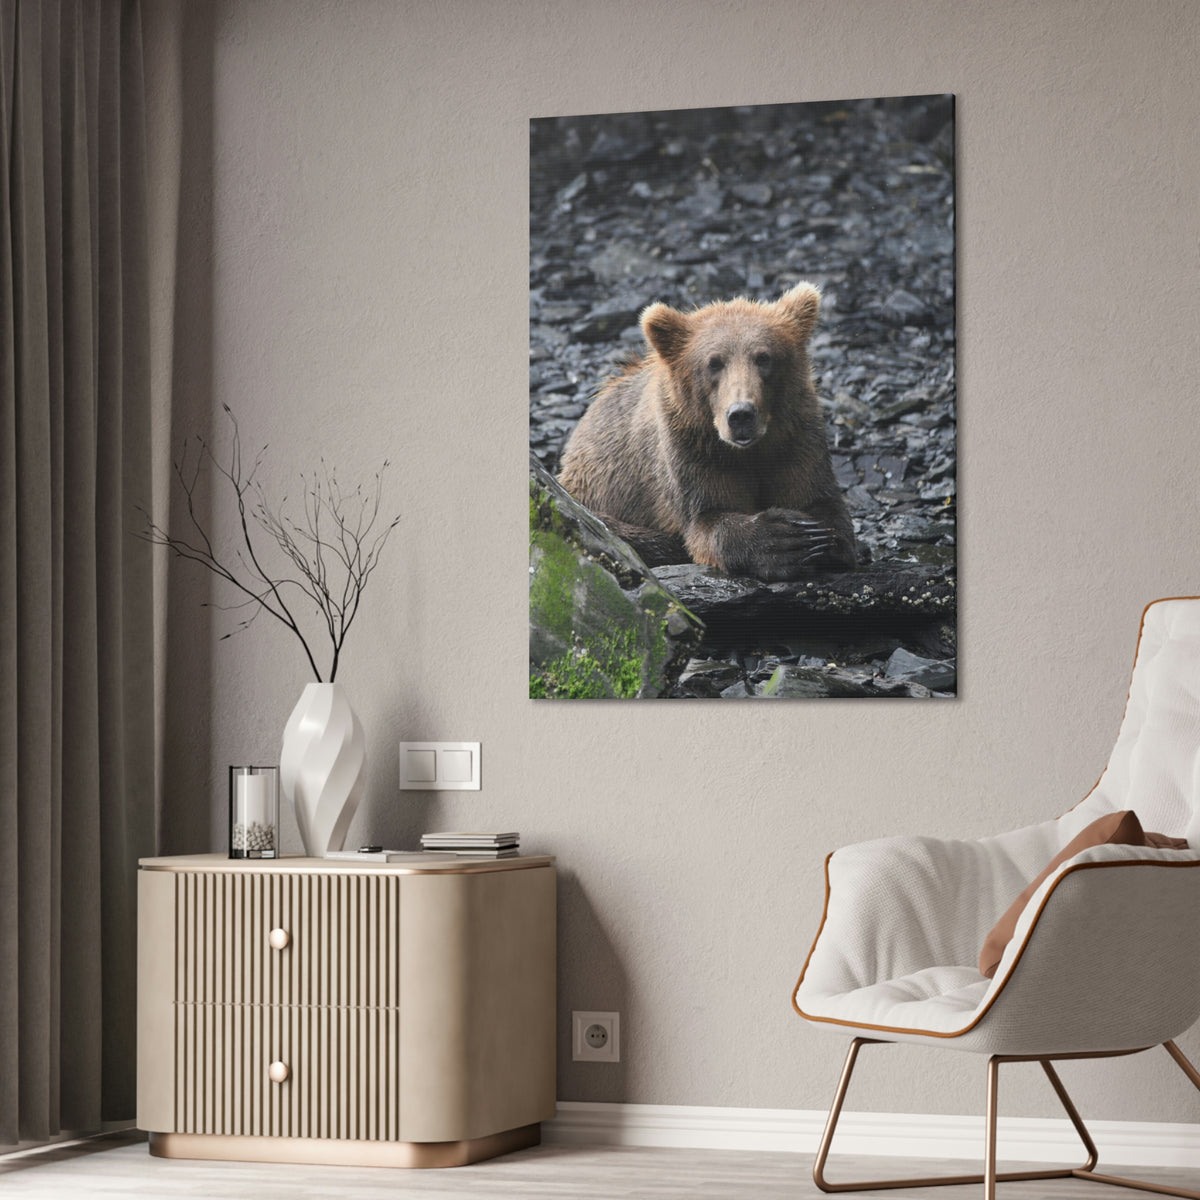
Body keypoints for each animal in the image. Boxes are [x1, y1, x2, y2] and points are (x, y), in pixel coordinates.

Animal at [557, 282, 856, 582]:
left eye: (764, 357)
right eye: (714, 363)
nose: (741, 414)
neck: (748, 451)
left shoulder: (795, 438)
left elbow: (819, 500)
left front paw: (817, 537)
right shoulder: (692, 450)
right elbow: (707, 519)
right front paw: (784, 540)